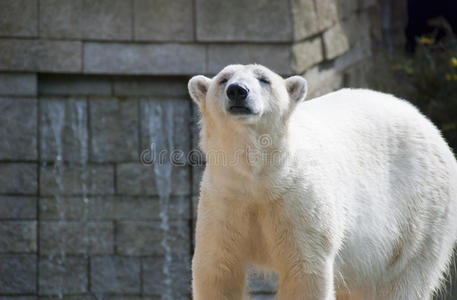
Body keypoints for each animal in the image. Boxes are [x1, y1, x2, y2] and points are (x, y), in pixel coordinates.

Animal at [186, 64, 456, 298]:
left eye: (264, 79)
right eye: (223, 79)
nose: (237, 91)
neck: (260, 178)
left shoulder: (299, 203)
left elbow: (303, 271)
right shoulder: (226, 200)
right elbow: (218, 269)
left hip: (419, 216)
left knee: (402, 280)